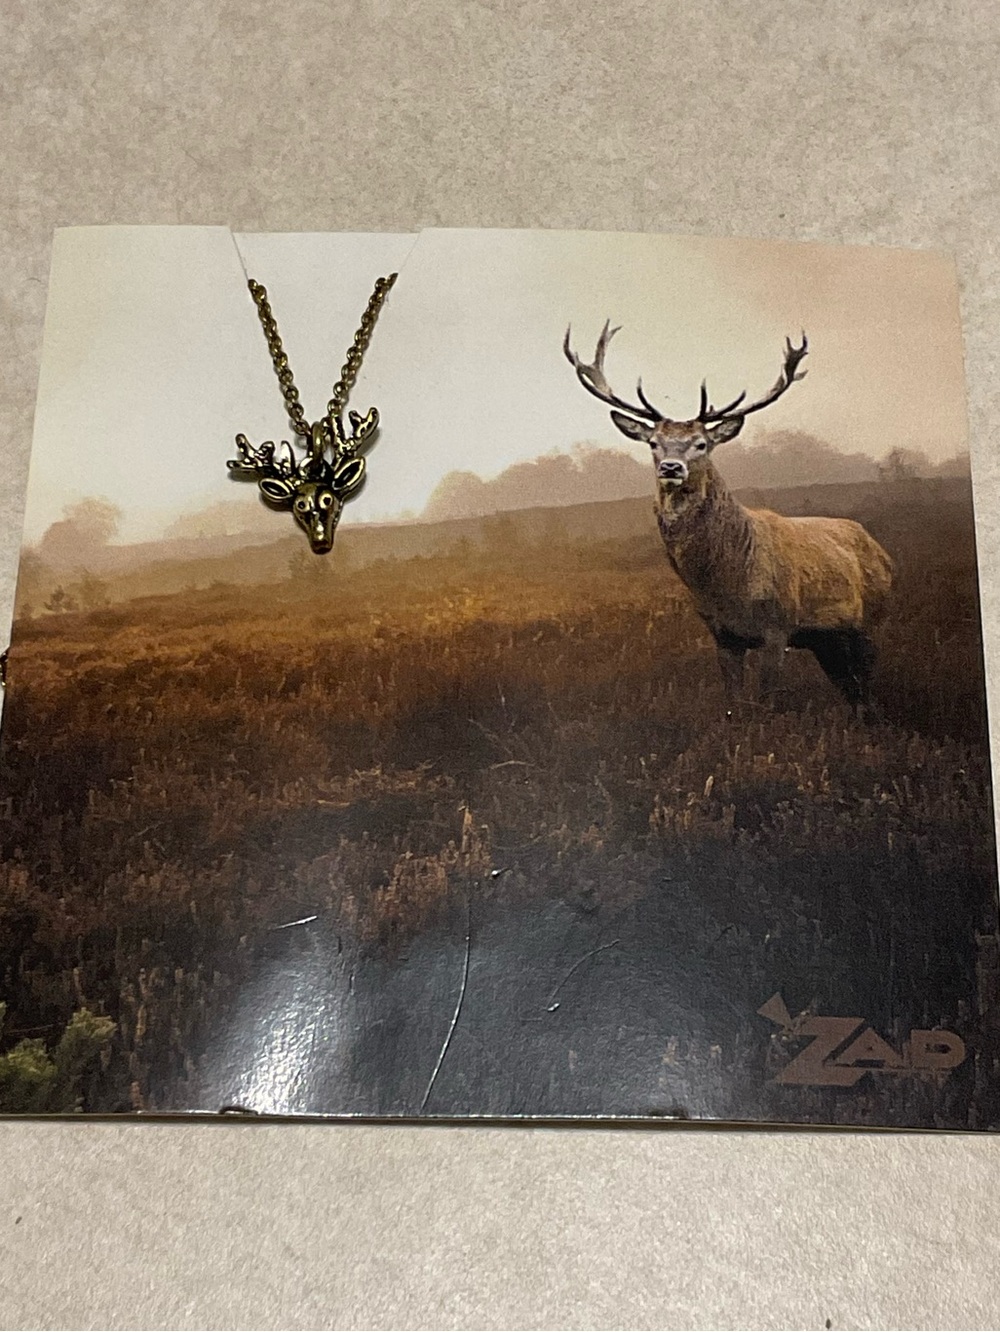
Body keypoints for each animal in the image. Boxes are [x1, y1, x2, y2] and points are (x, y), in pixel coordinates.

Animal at [564, 323, 893, 709]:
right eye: (653, 443)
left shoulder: (777, 626)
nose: (671, 467)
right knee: (851, 690)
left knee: (867, 686)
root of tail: (882, 551)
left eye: (701, 443)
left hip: (871, 620)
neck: (727, 583)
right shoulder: (722, 634)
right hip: (827, 640)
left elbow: (767, 704)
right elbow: (733, 706)